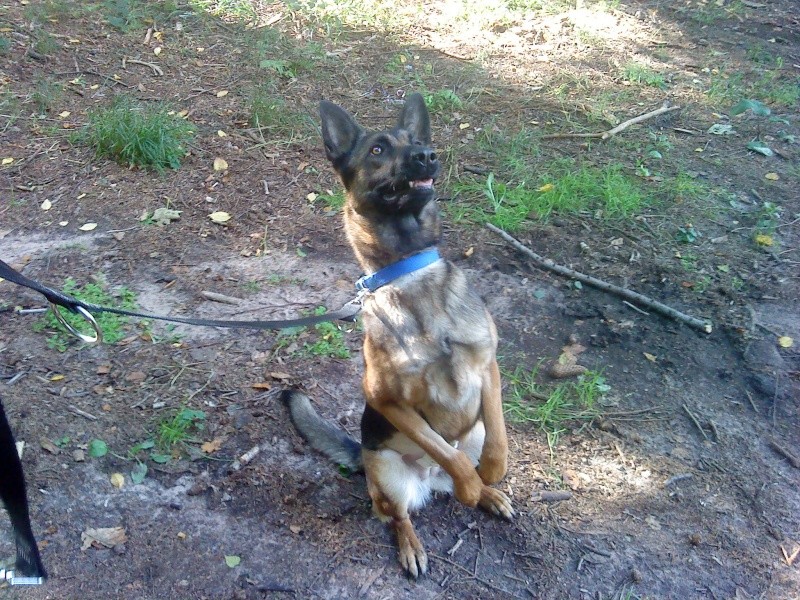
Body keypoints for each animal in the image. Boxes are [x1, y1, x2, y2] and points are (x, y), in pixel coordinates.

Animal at [282, 92, 512, 576]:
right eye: (378, 149)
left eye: (417, 141)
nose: (427, 155)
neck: (409, 272)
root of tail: (428, 481)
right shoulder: (387, 399)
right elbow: (443, 448)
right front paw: (469, 484)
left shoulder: (488, 367)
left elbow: (497, 438)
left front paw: (490, 475)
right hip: (387, 476)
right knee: (399, 514)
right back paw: (414, 542)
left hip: (473, 430)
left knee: (467, 455)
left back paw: (488, 494)